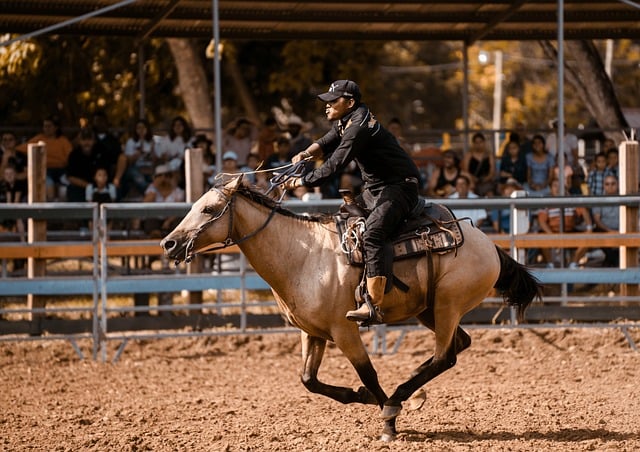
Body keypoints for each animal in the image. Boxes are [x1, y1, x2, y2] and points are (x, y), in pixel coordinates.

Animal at [162, 176, 544, 442]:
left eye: (208, 209)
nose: (169, 243)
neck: (302, 255)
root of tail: (489, 245)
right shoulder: (312, 332)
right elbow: (309, 380)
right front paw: (361, 397)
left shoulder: (344, 330)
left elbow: (368, 373)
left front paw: (388, 421)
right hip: (429, 310)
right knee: (457, 345)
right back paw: (410, 393)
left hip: (448, 304)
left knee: (444, 356)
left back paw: (402, 395)